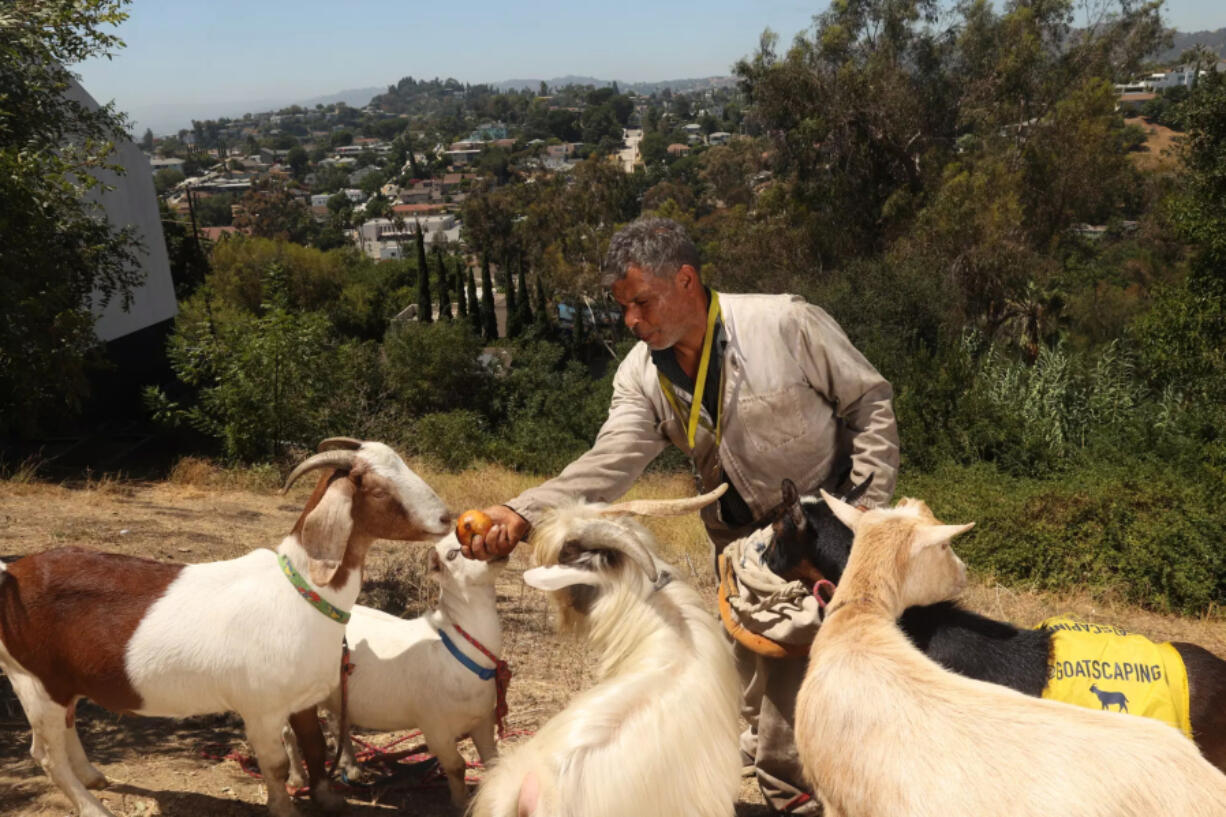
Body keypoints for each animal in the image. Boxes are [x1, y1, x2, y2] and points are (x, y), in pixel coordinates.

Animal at [0, 436, 453, 814]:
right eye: (377, 489)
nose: (447, 517)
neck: (300, 594)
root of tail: (12, 573)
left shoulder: (302, 699)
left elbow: (314, 747)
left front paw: (328, 799)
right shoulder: (262, 708)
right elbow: (275, 765)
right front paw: (284, 809)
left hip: (63, 682)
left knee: (67, 726)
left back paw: (93, 776)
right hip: (33, 679)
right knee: (45, 754)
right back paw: (94, 807)